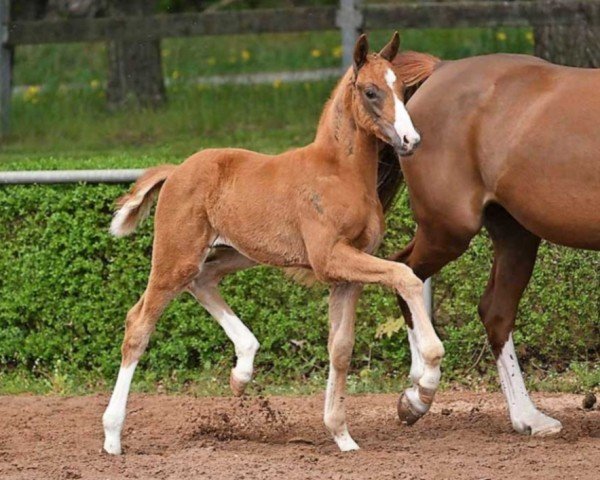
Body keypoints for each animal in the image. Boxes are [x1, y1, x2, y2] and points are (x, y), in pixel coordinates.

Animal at [101, 33, 442, 454]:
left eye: (403, 89)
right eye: (371, 91)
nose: (411, 140)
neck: (338, 173)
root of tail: (176, 170)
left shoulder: (347, 273)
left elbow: (341, 348)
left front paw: (342, 436)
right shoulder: (331, 259)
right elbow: (405, 275)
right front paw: (426, 378)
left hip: (235, 254)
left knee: (203, 281)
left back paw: (242, 371)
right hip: (175, 256)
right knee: (139, 324)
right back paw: (112, 436)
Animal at [392, 51, 596, 436]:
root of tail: (441, 68)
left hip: (515, 235)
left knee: (495, 311)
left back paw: (529, 419)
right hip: (449, 229)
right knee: (406, 271)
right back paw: (419, 392)